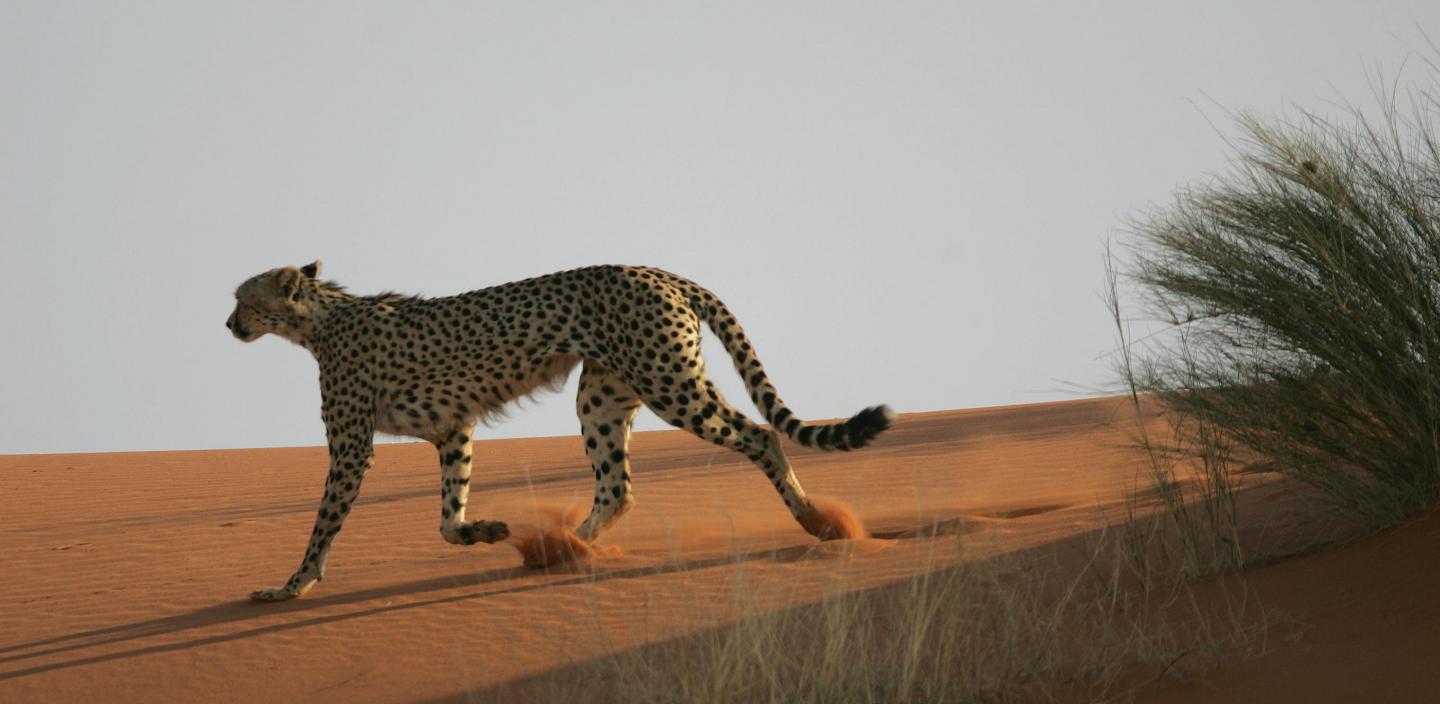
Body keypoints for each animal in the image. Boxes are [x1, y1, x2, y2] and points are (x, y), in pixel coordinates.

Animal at [227, 260, 887, 601]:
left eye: (242, 297)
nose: (228, 324)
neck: (316, 320)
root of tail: (658, 271)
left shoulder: (351, 448)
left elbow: (323, 525)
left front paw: (291, 586)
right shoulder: (453, 429)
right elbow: (447, 520)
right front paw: (488, 530)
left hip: (670, 384)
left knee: (760, 436)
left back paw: (815, 520)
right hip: (602, 398)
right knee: (618, 487)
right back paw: (564, 546)